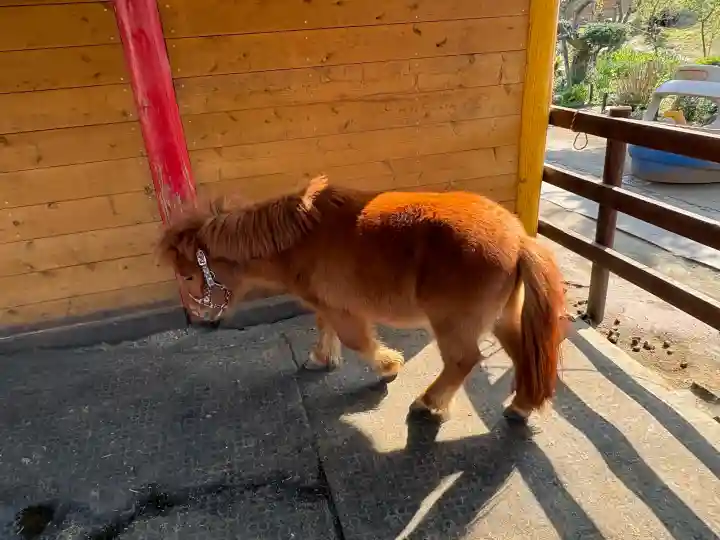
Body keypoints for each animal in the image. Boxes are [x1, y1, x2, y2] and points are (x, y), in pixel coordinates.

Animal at [156, 175, 567, 424]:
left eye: (189, 275)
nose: (204, 319)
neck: (301, 240)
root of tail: (519, 238)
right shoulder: (328, 304)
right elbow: (324, 328)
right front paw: (321, 358)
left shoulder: (344, 311)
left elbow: (357, 341)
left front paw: (387, 366)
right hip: (501, 318)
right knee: (522, 352)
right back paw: (521, 405)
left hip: (453, 324)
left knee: (463, 361)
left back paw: (429, 403)